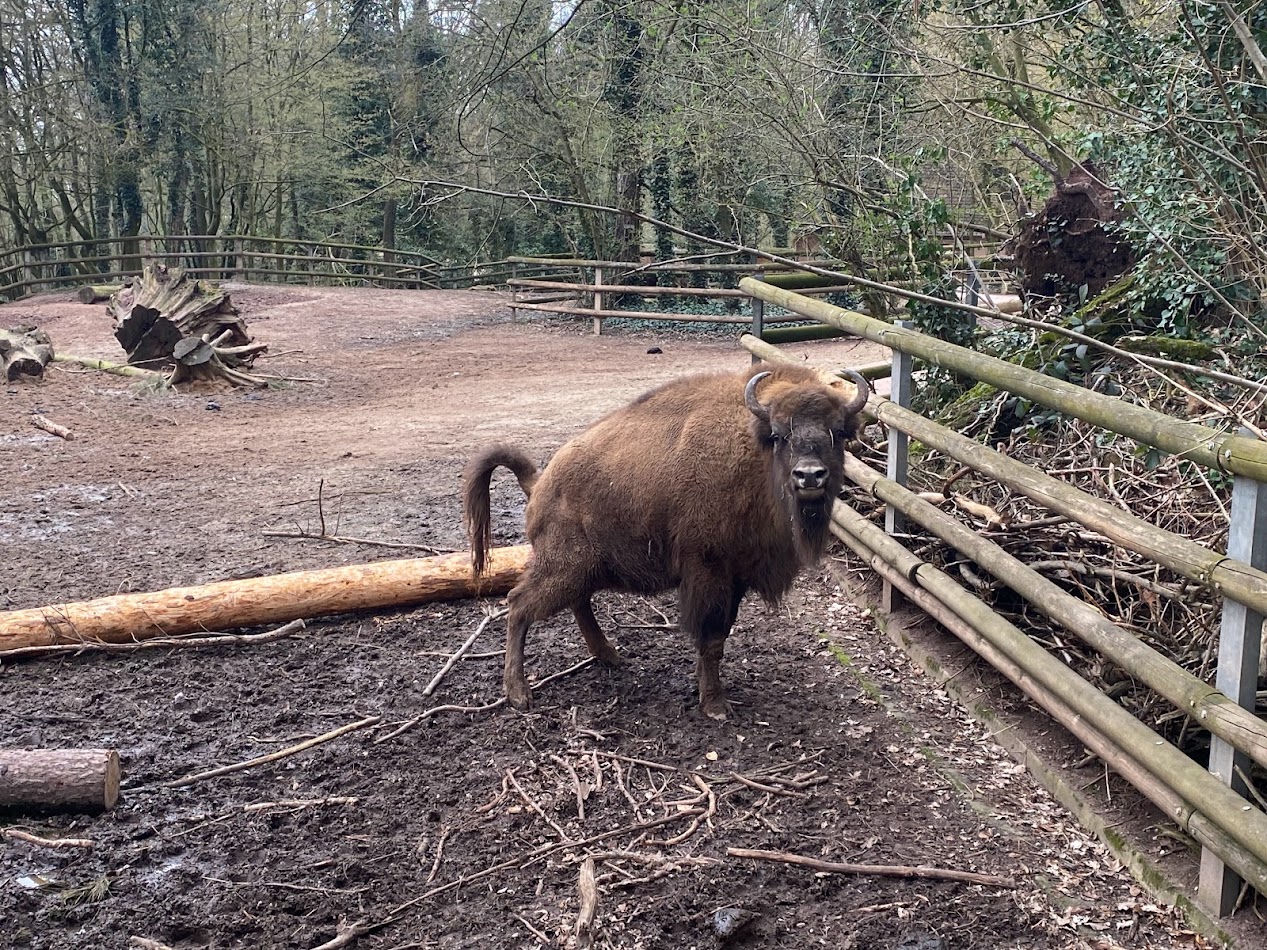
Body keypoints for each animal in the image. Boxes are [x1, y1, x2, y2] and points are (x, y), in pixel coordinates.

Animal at [463, 362, 870, 718]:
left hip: (583, 569)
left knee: (576, 603)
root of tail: (539, 482)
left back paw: (609, 656)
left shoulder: (735, 577)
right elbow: (711, 638)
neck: (755, 453)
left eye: (838, 432)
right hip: (561, 567)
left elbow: (720, 637)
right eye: (779, 434)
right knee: (519, 606)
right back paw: (519, 694)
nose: (810, 476)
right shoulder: (708, 572)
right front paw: (715, 706)